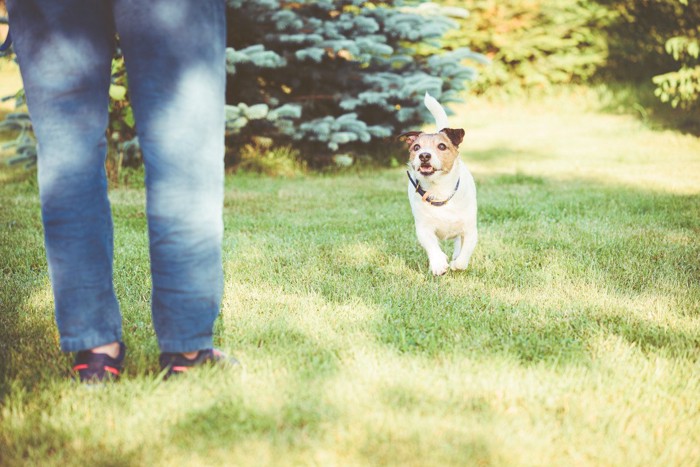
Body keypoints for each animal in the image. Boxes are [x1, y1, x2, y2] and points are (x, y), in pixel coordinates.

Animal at [402, 93, 478, 276]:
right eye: (416, 147)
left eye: (442, 146)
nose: (424, 155)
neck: (439, 189)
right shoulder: (423, 228)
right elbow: (432, 246)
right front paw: (438, 264)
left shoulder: (470, 230)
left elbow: (466, 249)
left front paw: (458, 264)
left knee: (458, 243)